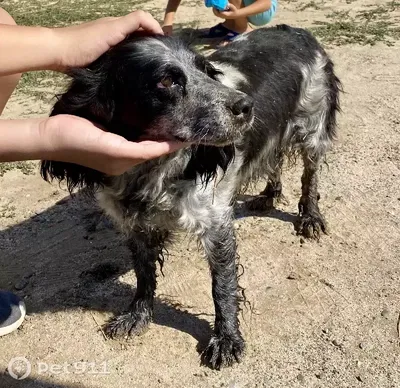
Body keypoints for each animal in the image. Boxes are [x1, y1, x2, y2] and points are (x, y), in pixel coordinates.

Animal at [40, 25, 340, 368]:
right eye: (166, 81)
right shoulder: (135, 224)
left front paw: (226, 339)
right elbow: (143, 274)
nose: (247, 106)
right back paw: (268, 195)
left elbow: (222, 286)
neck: (151, 173)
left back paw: (309, 216)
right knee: (272, 157)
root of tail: (296, 30)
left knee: (309, 175)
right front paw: (137, 314)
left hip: (312, 127)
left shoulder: (215, 223)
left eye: (206, 70)